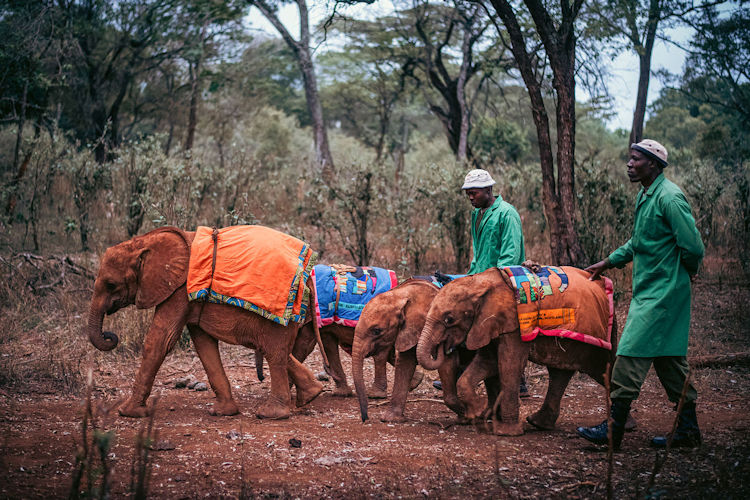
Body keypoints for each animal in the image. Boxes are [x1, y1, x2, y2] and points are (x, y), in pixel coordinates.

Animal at [86, 226, 326, 420]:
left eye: (110, 284)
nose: (111, 336)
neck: (144, 241)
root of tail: (307, 275)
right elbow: (203, 344)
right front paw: (222, 412)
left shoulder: (178, 291)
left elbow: (160, 340)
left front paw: (128, 412)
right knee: (277, 351)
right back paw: (312, 394)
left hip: (281, 312)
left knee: (274, 352)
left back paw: (271, 414)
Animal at [417, 267, 617, 436]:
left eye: (449, 319)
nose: (444, 346)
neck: (478, 282)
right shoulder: (488, 324)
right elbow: (489, 361)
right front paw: (479, 412)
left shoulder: (514, 324)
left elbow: (509, 364)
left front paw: (504, 431)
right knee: (560, 373)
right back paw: (538, 423)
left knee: (603, 368)